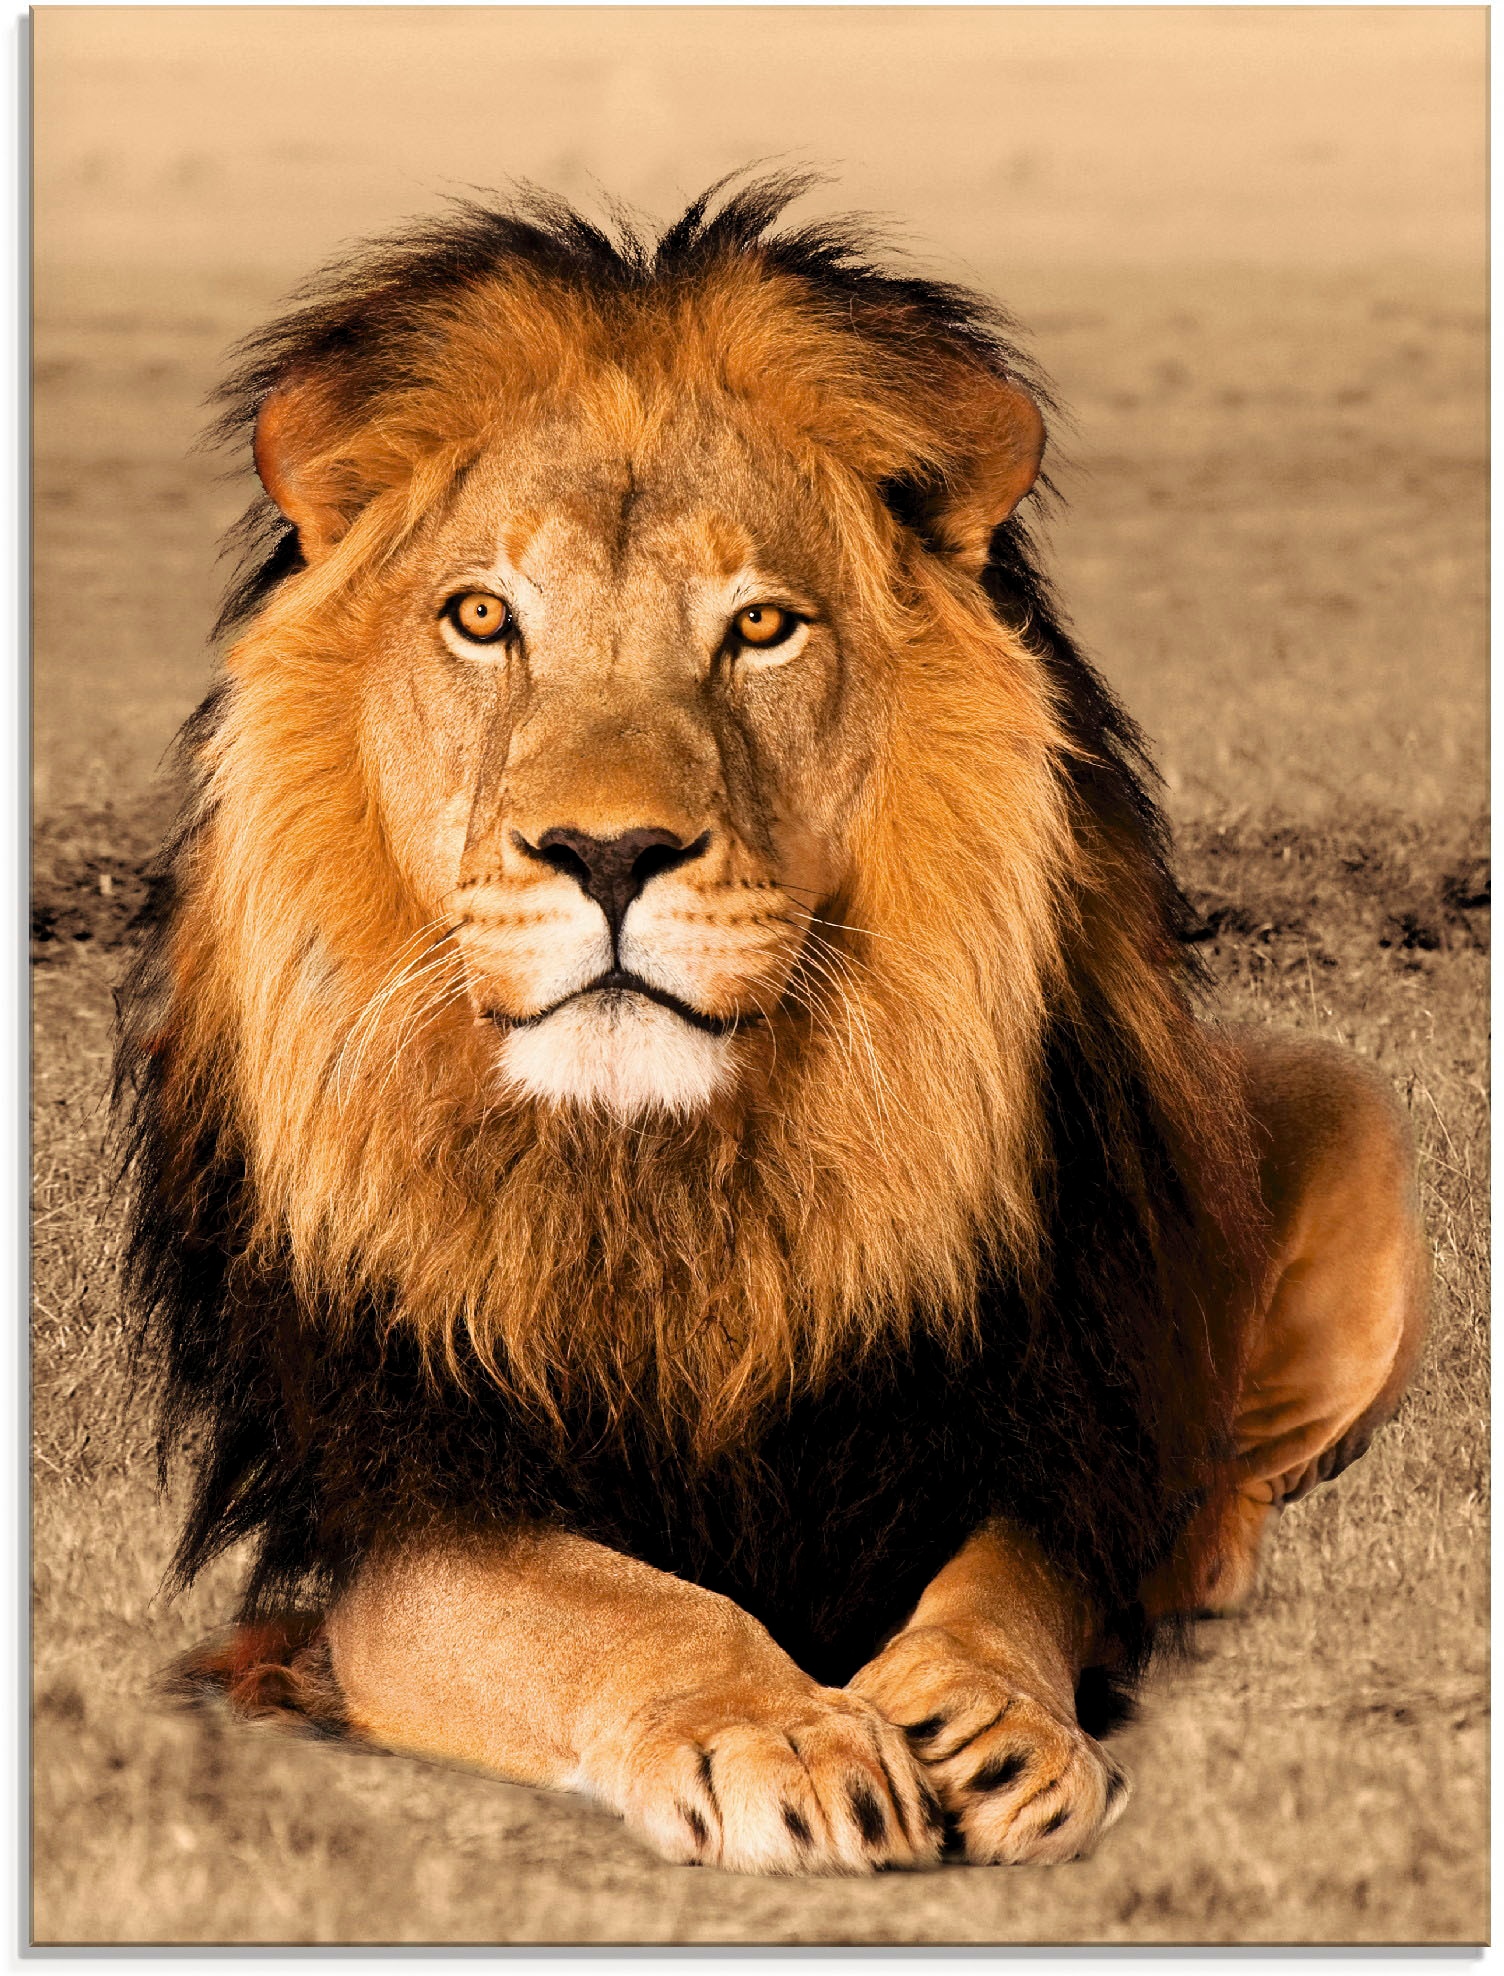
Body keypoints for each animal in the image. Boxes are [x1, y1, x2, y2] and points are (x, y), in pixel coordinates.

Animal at [116, 174, 1428, 1876]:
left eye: (760, 628)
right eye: (482, 616)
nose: (610, 852)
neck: (667, 1178)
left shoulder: (1020, 1416)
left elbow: (1015, 1577)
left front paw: (989, 1718)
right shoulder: (403, 1501)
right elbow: (614, 1606)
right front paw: (786, 1733)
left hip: (1350, 1118)